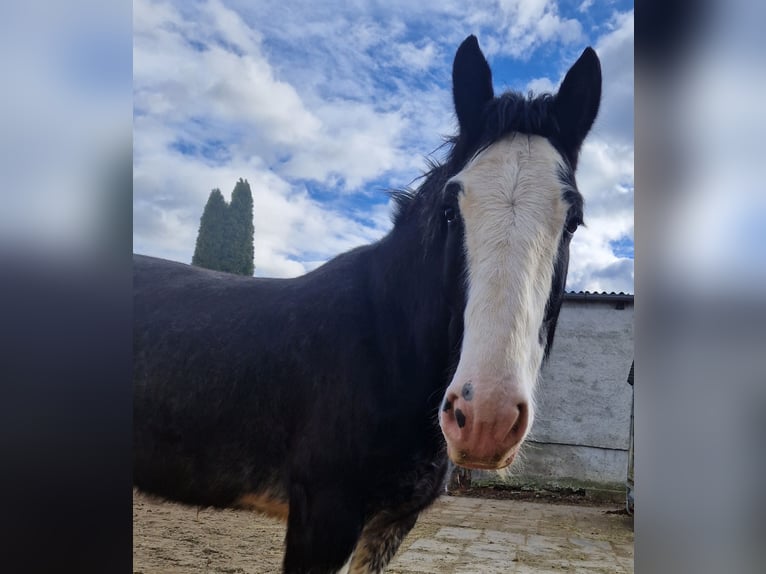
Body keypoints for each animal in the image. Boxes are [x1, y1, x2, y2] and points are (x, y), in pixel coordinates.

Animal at [135, 36, 604, 574]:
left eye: (573, 221)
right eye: (450, 210)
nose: (486, 419)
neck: (384, 346)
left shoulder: (390, 523)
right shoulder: (323, 517)